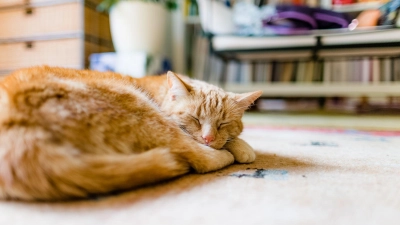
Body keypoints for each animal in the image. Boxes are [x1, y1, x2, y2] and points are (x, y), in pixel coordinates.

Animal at [0, 66, 260, 201]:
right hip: (140, 108)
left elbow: (230, 138)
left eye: (223, 123)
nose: (208, 137)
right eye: (195, 119)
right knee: (197, 156)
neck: (160, 92)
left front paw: (238, 144)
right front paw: (238, 148)